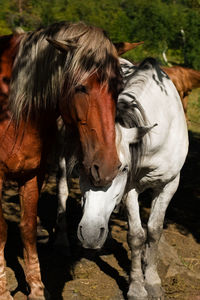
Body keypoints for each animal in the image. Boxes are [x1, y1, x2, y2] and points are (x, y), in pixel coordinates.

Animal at [77, 58, 189, 300]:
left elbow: (154, 231)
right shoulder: (131, 189)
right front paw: (137, 287)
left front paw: (153, 281)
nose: (89, 234)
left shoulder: (169, 185)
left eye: (123, 168)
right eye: (81, 167)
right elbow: (136, 236)